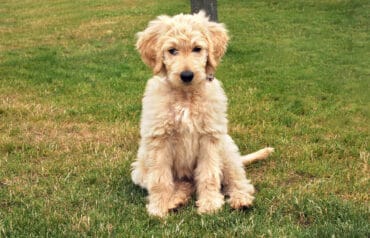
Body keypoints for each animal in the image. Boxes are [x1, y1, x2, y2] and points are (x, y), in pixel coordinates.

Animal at [132, 12, 274, 218]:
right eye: (172, 50)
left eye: (197, 49)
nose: (187, 75)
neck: (186, 96)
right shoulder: (159, 139)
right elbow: (160, 178)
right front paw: (159, 207)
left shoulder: (210, 137)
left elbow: (209, 174)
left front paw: (210, 204)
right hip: (141, 168)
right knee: (184, 184)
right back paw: (176, 200)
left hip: (227, 151)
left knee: (239, 181)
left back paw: (241, 200)